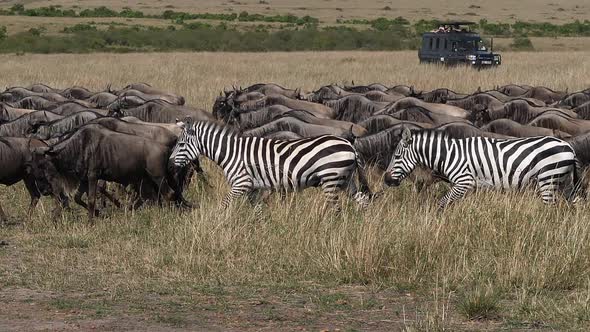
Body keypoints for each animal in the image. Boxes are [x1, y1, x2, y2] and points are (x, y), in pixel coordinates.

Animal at [171, 118, 372, 208]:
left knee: (335, 208)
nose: (170, 163)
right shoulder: (253, 188)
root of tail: (349, 144)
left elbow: (224, 203)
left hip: (330, 179)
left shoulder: (241, 184)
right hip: (346, 180)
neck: (232, 154)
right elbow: (258, 210)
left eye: (181, 144)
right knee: (362, 201)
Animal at [384, 127, 584, 208]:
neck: (450, 155)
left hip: (548, 178)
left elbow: (442, 203)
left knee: (550, 207)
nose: (386, 180)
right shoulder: (471, 188)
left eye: (397, 156)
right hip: (564, 181)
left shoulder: (464, 181)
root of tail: (569, 147)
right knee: (575, 204)